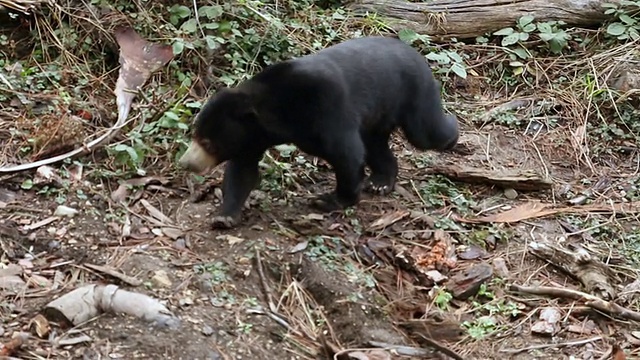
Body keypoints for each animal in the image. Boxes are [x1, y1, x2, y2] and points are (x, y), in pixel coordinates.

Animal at [180, 35, 458, 228]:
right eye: (194, 135)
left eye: (208, 142)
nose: (185, 163)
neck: (276, 111)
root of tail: (415, 51)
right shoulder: (251, 138)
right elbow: (242, 171)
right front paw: (224, 216)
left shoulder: (325, 107)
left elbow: (346, 153)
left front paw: (329, 200)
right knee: (375, 145)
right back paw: (380, 182)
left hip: (413, 91)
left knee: (426, 132)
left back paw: (453, 132)